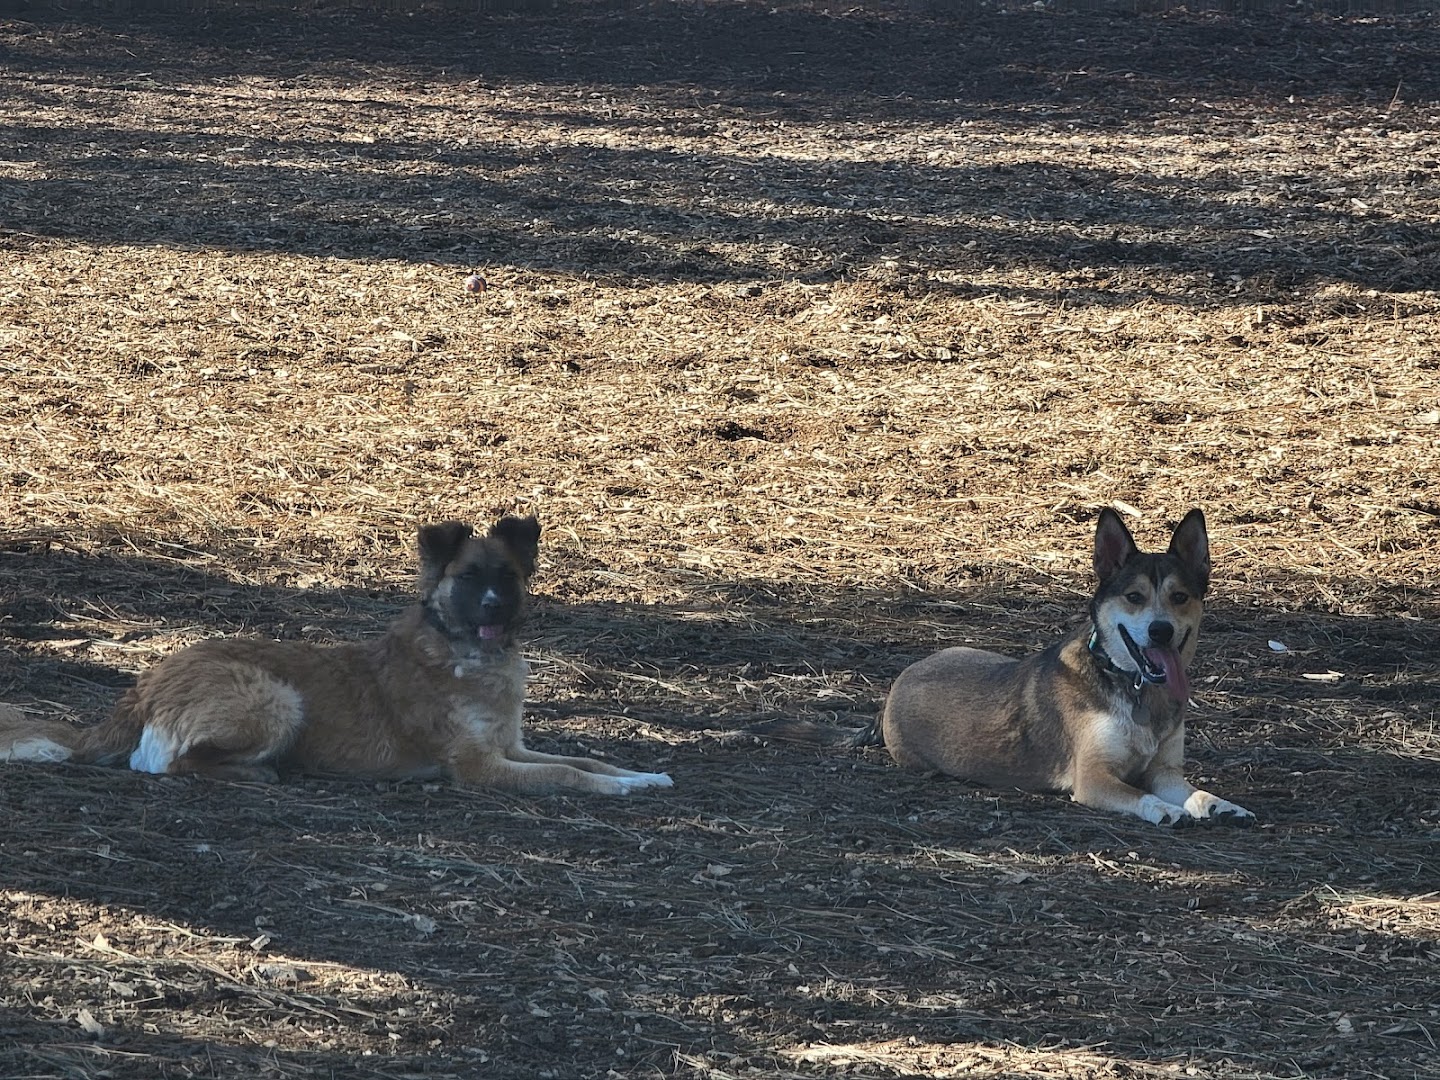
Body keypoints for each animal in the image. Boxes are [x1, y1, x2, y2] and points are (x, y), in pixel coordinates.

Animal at [0, 521, 673, 800]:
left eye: (505, 577)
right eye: (467, 577)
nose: (493, 608)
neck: (464, 653)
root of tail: (144, 682)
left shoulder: (512, 746)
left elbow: (584, 757)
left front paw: (642, 776)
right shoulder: (481, 766)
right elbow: (570, 775)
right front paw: (620, 788)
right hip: (274, 697)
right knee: (168, 766)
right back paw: (261, 775)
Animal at [754, 509, 1249, 829]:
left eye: (1180, 597)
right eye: (1134, 597)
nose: (1161, 631)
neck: (1134, 686)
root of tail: (890, 695)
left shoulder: (1164, 771)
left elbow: (1193, 788)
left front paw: (1220, 805)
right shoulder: (1093, 778)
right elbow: (1139, 795)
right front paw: (1166, 811)